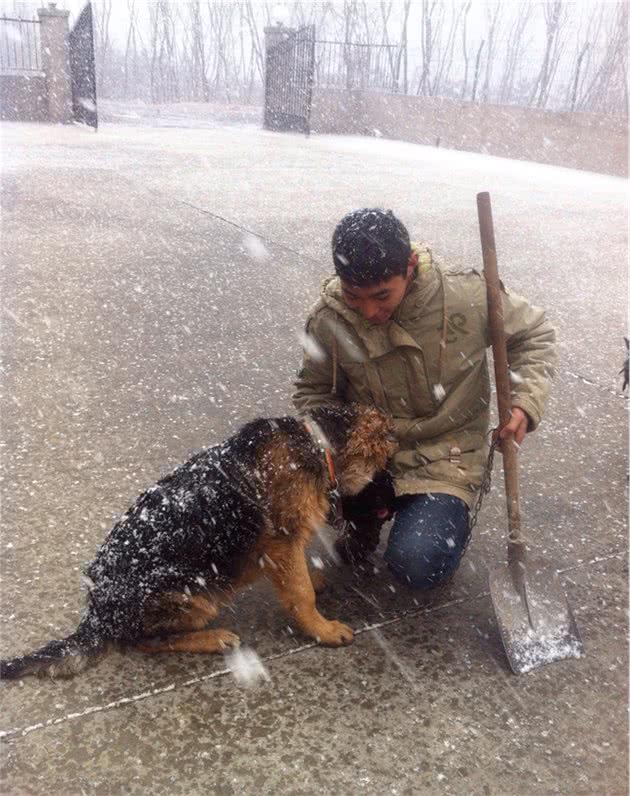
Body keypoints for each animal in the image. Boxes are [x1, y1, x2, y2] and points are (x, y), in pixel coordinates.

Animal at [0, 404, 398, 676]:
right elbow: (301, 594)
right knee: (146, 642)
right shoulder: (281, 544)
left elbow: (299, 579)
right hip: (196, 595)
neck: (319, 443)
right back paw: (215, 638)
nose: (396, 503)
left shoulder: (283, 550)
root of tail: (96, 614)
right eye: (387, 475)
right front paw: (322, 629)